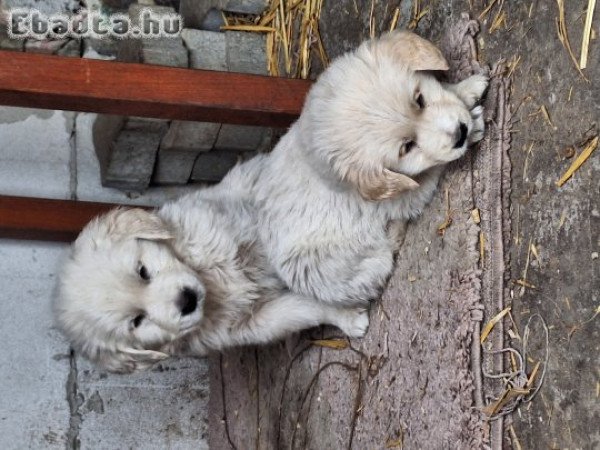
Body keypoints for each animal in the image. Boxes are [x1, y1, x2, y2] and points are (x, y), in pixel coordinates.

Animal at [55, 31, 488, 372]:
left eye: (143, 270)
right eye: (137, 322)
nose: (186, 301)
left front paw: (467, 88)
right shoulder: (253, 324)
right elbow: (304, 309)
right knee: (376, 262)